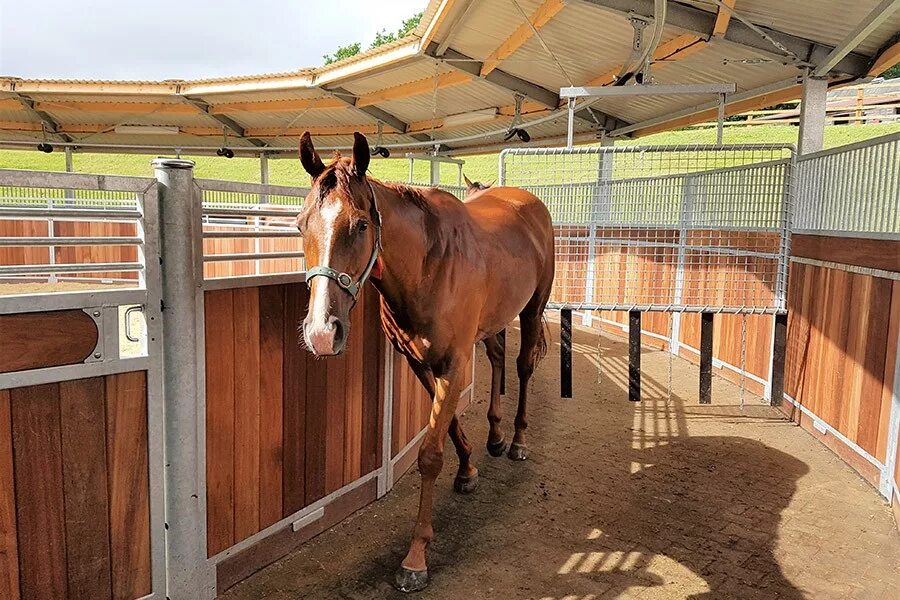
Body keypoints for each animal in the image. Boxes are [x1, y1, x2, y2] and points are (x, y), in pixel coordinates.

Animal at [296, 132, 556, 592]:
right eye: (300, 224)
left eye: (360, 225)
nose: (322, 333)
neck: (429, 264)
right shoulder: (420, 362)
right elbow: (447, 425)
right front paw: (468, 469)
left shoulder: (454, 363)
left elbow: (430, 455)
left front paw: (416, 556)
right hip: (497, 320)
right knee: (499, 359)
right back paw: (495, 435)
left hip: (532, 308)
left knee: (523, 366)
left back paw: (518, 441)